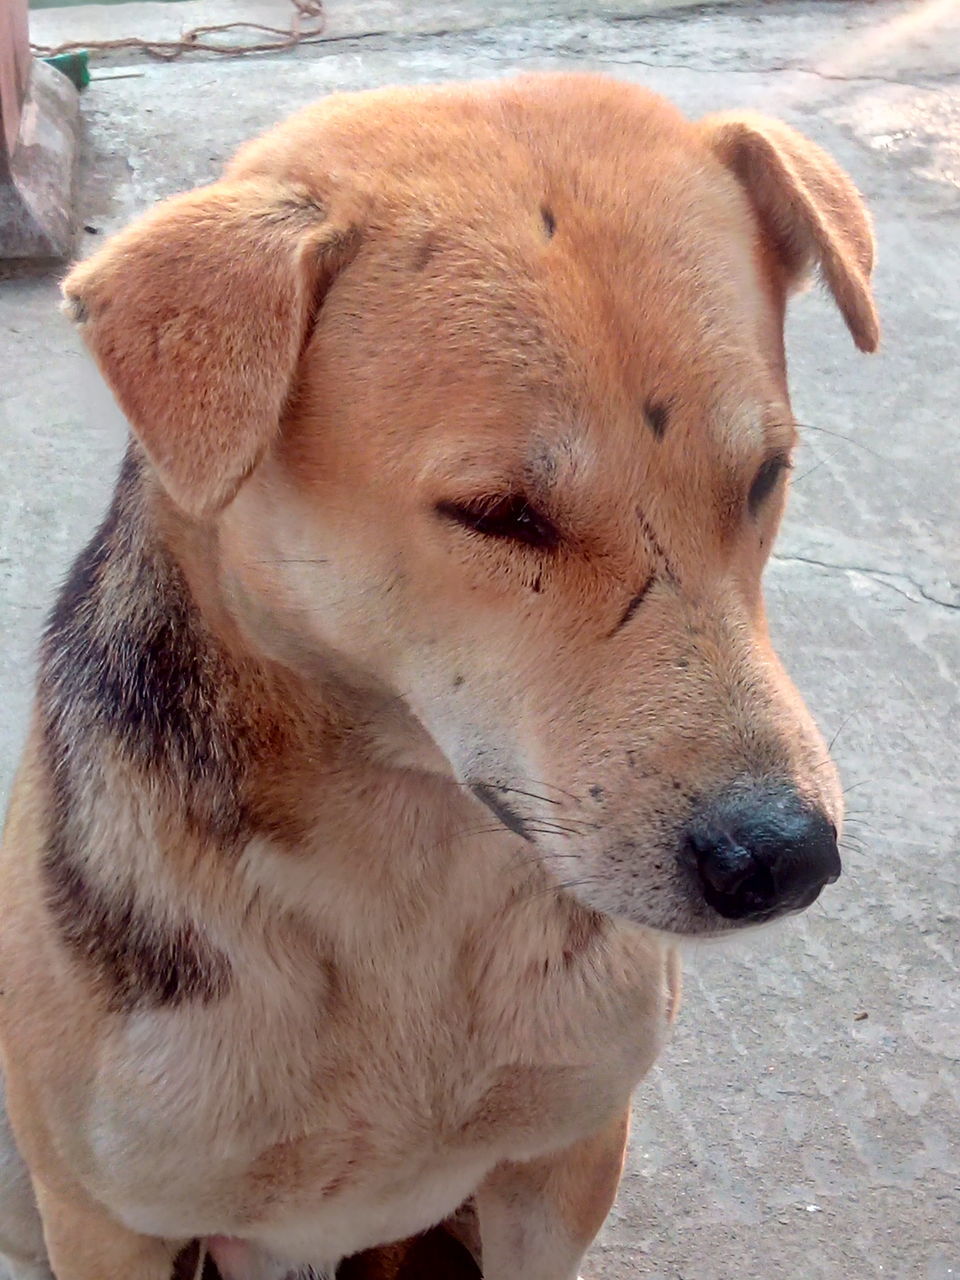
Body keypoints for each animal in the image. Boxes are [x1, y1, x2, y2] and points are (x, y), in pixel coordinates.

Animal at [0, 72, 880, 1280]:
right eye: (499, 514)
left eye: (765, 475)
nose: (784, 857)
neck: (406, 872)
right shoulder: (105, 1224)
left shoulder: (562, 1166)